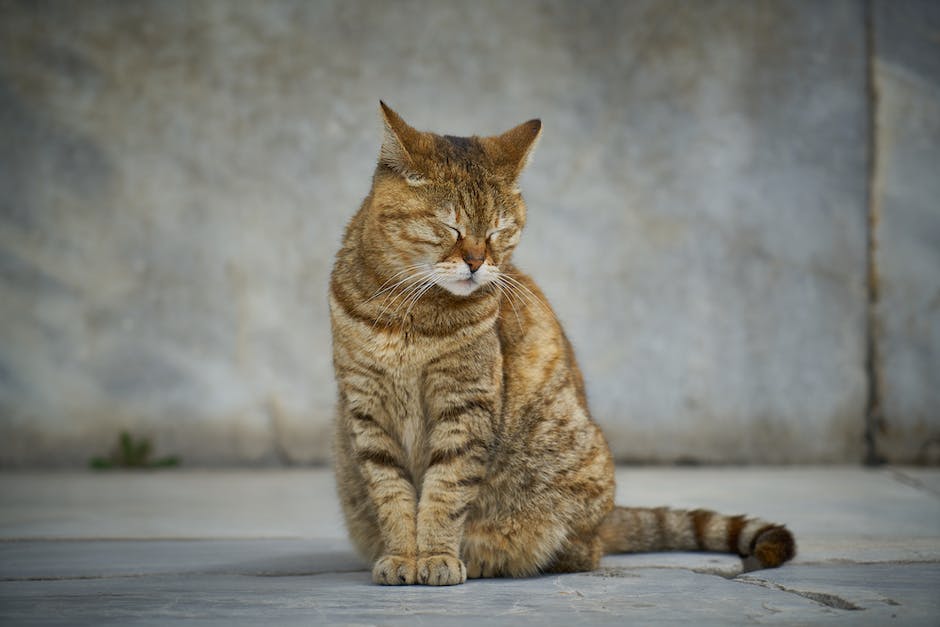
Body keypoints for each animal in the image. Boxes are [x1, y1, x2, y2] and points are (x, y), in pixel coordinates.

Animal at [330, 100, 792, 588]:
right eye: (449, 227)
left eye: (498, 232)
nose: (476, 262)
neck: (408, 313)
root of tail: (608, 519)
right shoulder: (366, 410)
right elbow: (391, 493)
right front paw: (402, 555)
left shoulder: (466, 405)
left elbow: (446, 489)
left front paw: (436, 554)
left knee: (582, 550)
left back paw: (491, 557)